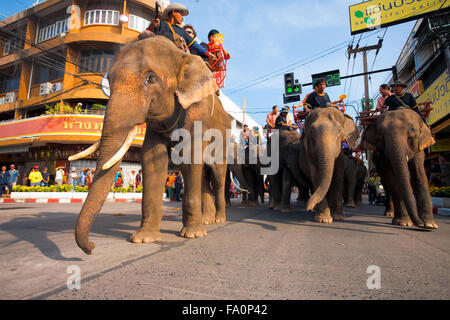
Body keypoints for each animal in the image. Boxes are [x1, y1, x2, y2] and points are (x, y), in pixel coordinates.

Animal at [71, 35, 232, 255]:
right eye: (109, 80)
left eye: (151, 79)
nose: (91, 247)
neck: (181, 56)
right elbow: (152, 159)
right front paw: (143, 239)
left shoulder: (197, 112)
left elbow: (190, 156)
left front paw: (192, 235)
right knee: (202, 175)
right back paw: (207, 221)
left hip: (224, 138)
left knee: (217, 174)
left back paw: (218, 220)